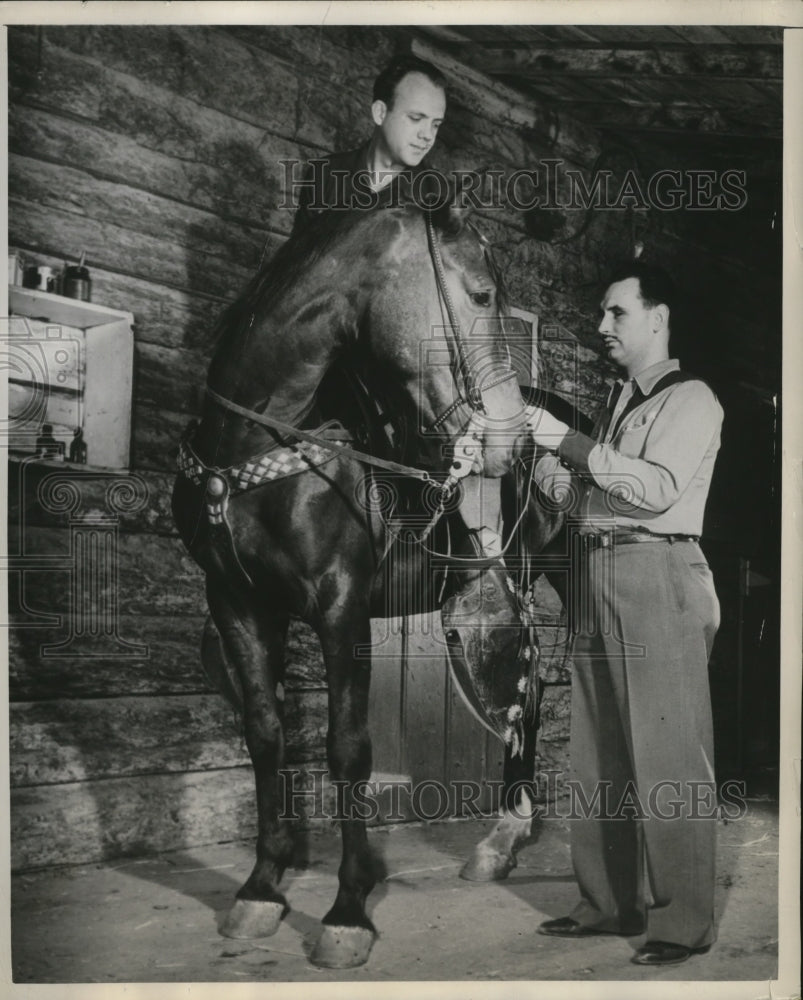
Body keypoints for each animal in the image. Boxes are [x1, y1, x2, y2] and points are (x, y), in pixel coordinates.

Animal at [173, 197, 568, 968]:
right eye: (481, 294)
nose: (510, 439)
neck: (263, 444)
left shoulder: (341, 606)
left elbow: (348, 749)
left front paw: (348, 910)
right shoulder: (237, 603)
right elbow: (265, 736)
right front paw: (261, 889)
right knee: (529, 694)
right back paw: (501, 841)